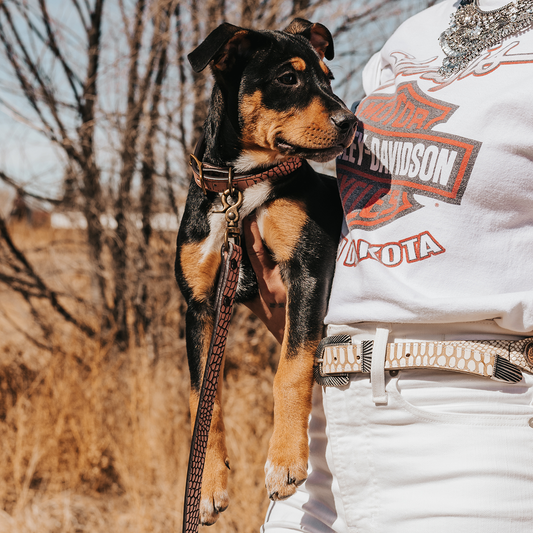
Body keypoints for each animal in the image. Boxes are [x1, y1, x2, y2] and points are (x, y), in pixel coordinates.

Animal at [176, 17, 358, 524]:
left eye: (328, 78)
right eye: (288, 78)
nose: (350, 122)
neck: (241, 187)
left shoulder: (309, 269)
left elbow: (290, 369)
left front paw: (285, 461)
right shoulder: (199, 305)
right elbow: (204, 397)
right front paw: (208, 486)